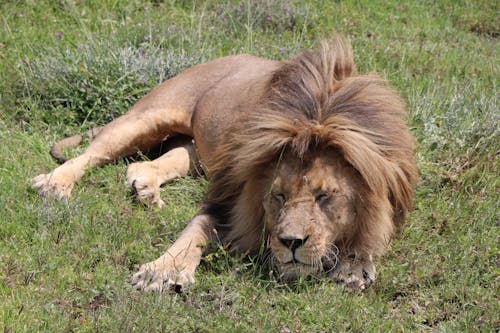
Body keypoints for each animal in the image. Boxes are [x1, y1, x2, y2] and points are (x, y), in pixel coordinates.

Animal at [32, 37, 418, 290]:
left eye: (325, 197)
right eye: (277, 196)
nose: (291, 242)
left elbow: (373, 229)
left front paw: (355, 265)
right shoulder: (227, 193)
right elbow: (194, 230)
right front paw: (162, 271)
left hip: (195, 152)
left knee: (148, 163)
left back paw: (146, 191)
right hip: (145, 117)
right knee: (91, 153)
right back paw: (54, 184)